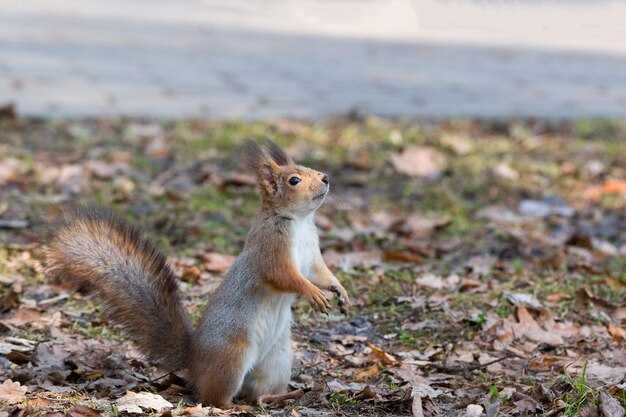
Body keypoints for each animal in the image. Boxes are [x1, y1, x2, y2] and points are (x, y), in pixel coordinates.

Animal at [47, 140, 352, 406]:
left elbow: (320, 273)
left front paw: (340, 290)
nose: (326, 178)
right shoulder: (270, 251)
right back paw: (234, 406)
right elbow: (285, 277)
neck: (298, 222)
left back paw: (279, 397)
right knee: (214, 397)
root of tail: (194, 361)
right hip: (232, 357)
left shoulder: (312, 255)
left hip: (277, 361)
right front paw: (314, 294)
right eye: (294, 180)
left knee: (256, 392)